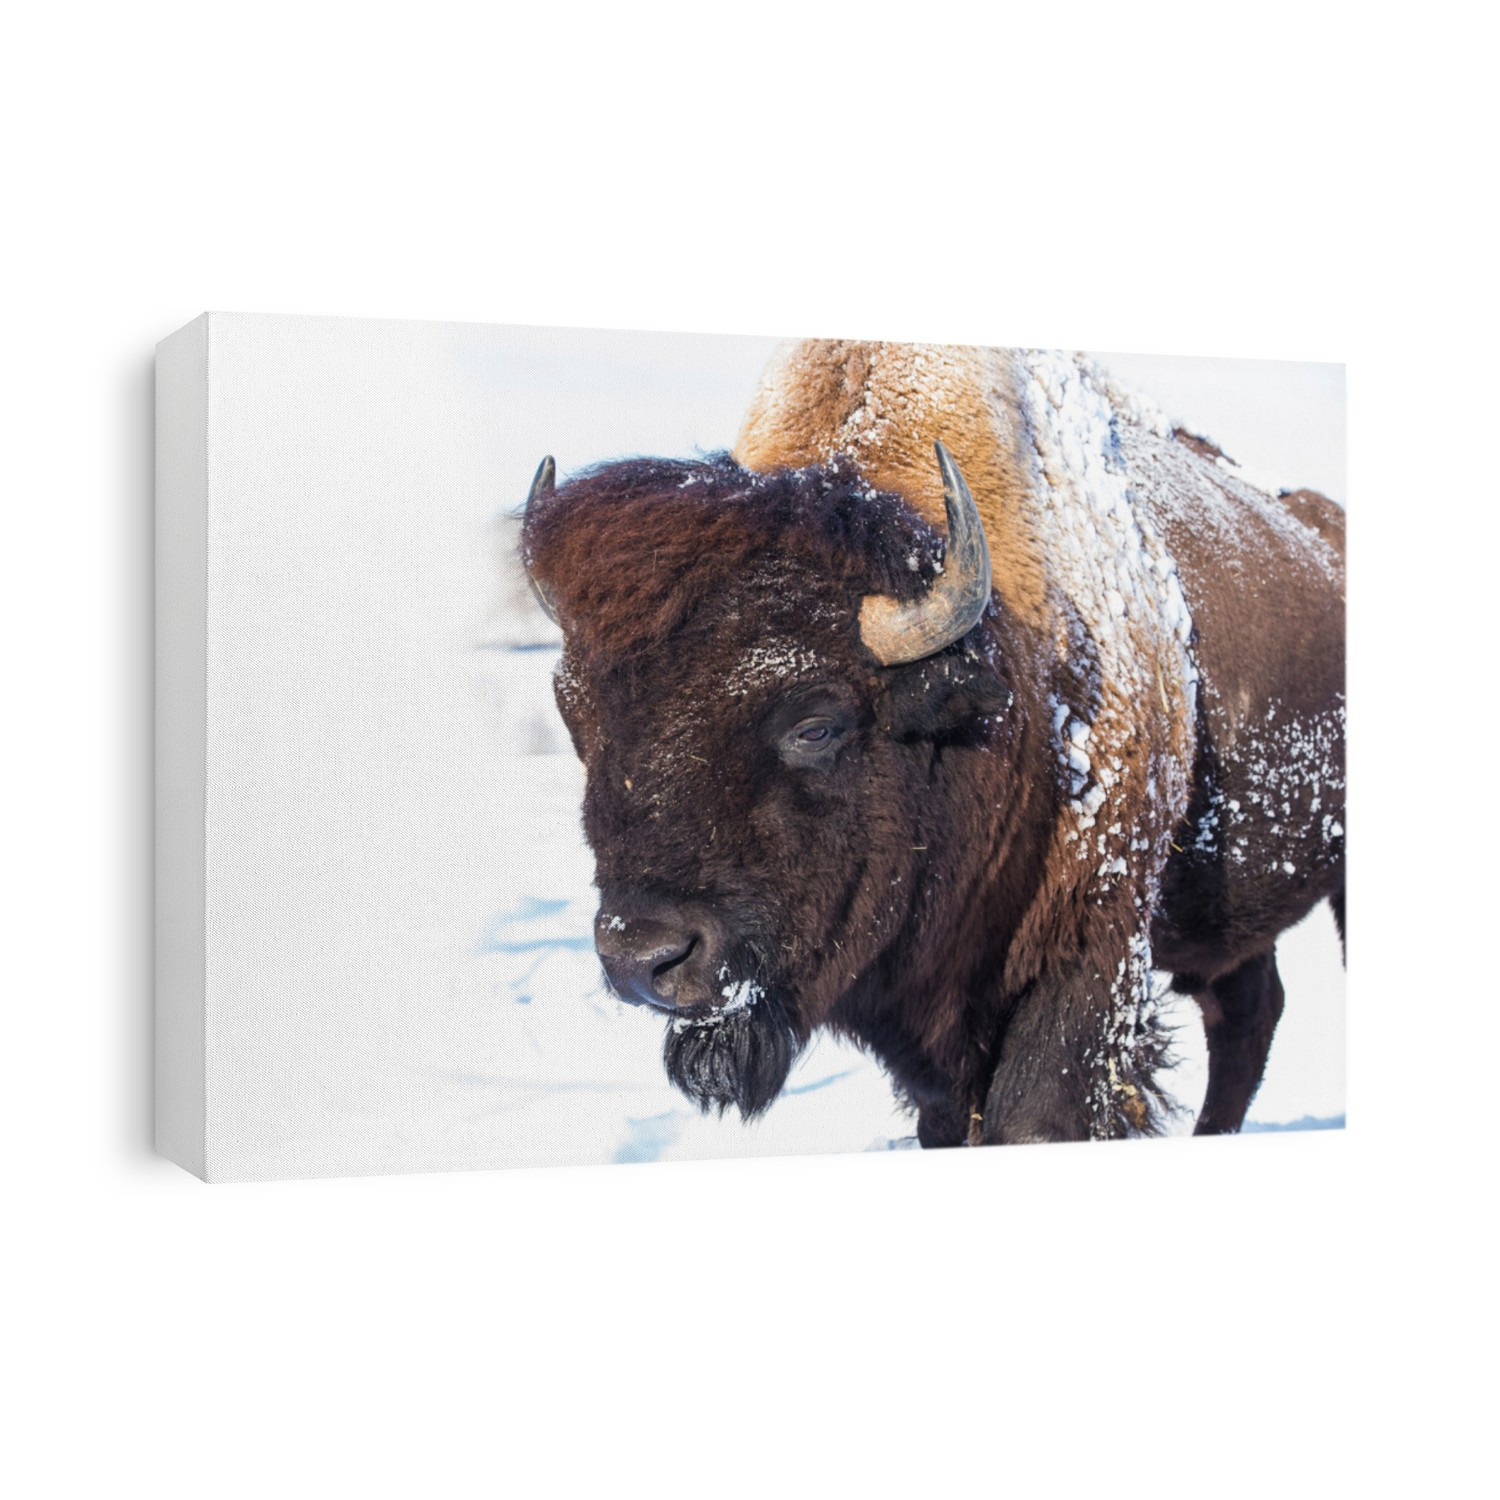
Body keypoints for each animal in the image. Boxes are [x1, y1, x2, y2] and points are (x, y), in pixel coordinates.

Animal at [519, 340, 1345, 1145]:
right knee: (1247, 1009)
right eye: (576, 716)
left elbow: (1035, 1115)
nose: (642, 958)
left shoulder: (1091, 944)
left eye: (815, 725)